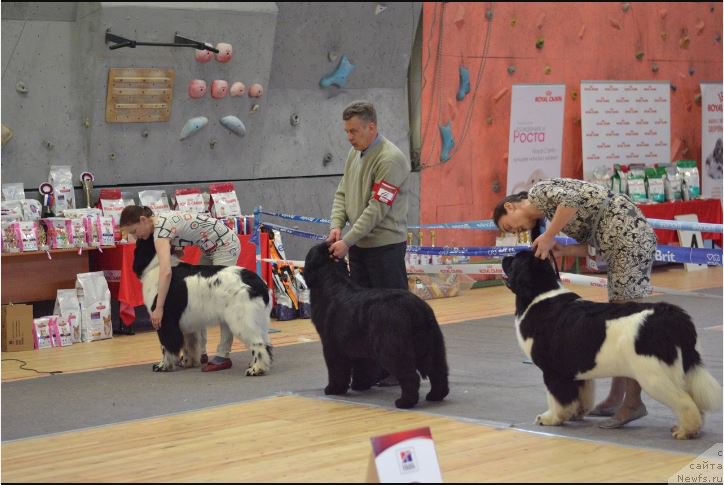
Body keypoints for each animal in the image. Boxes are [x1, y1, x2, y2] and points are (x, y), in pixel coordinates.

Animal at [134, 234, 274, 374]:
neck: (156, 265)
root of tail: (260, 283)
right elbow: (189, 345)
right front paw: (188, 363)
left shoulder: (164, 320)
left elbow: (166, 346)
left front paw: (162, 366)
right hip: (259, 320)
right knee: (266, 343)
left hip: (241, 320)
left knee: (258, 343)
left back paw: (256, 369)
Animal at [302, 242, 450, 408]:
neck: (331, 281)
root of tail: (416, 307)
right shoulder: (356, 344)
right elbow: (362, 366)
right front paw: (360, 385)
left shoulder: (332, 346)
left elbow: (336, 370)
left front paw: (334, 389)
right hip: (432, 346)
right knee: (438, 371)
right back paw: (435, 395)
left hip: (393, 349)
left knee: (410, 375)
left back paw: (405, 402)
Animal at [500, 250, 720, 438]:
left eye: (515, 260)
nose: (504, 257)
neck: (539, 294)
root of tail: (674, 316)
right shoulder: (575, 369)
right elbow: (581, 395)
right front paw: (575, 413)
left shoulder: (553, 371)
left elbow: (557, 398)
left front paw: (551, 418)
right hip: (682, 367)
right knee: (693, 399)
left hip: (653, 374)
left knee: (684, 401)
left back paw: (685, 431)